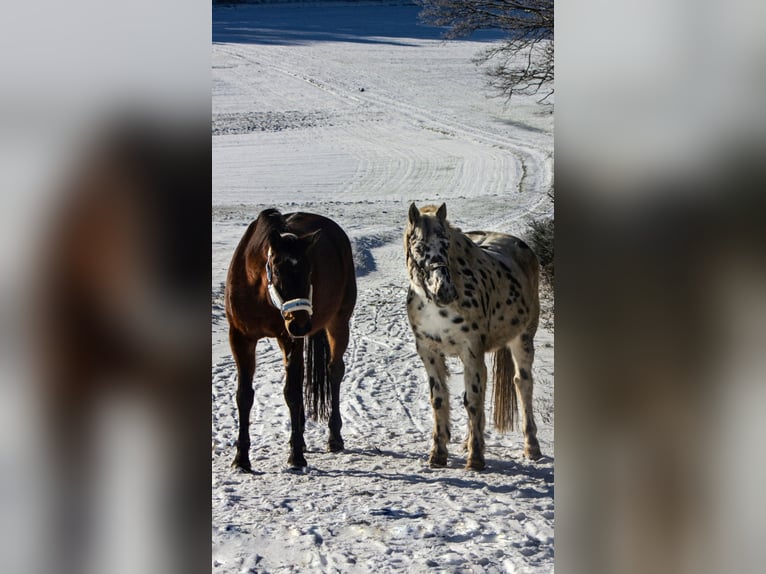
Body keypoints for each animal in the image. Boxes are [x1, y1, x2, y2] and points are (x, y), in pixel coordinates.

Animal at [224, 209, 358, 470]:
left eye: (309, 272)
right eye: (277, 271)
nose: (301, 323)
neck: (260, 293)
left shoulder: (290, 339)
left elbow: (292, 394)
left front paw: (296, 456)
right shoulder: (240, 338)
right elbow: (244, 396)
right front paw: (242, 458)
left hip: (338, 322)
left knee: (334, 371)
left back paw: (334, 437)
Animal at [404, 204, 544, 472]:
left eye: (446, 244)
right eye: (419, 246)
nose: (444, 291)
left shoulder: (471, 351)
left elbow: (473, 400)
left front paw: (476, 459)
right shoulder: (429, 352)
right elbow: (440, 399)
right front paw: (438, 455)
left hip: (522, 338)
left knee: (522, 383)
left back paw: (532, 447)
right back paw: (466, 442)